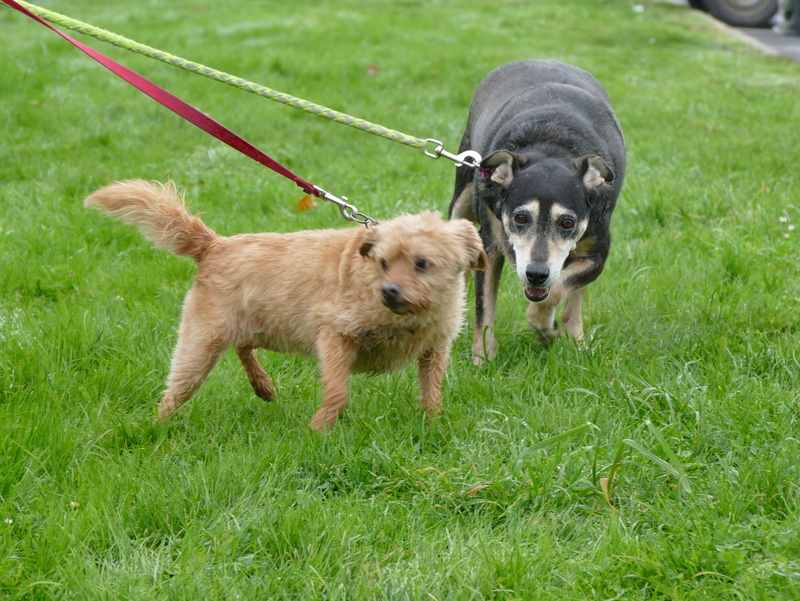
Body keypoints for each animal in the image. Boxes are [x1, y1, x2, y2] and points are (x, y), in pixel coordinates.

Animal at [86, 179, 488, 432]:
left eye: (422, 263)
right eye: (384, 262)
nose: (389, 291)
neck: (406, 317)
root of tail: (215, 245)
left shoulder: (435, 349)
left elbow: (432, 395)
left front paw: (433, 426)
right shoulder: (334, 337)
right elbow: (338, 393)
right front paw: (319, 429)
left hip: (267, 328)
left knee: (243, 345)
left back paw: (263, 386)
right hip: (201, 343)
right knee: (176, 392)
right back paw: (155, 427)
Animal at [450, 59, 624, 360]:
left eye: (567, 223)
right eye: (520, 218)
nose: (536, 274)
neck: (552, 148)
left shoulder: (598, 253)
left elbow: (557, 291)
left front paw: (546, 330)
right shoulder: (490, 244)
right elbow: (484, 310)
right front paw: (483, 359)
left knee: (574, 297)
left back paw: (574, 335)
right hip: (462, 197)